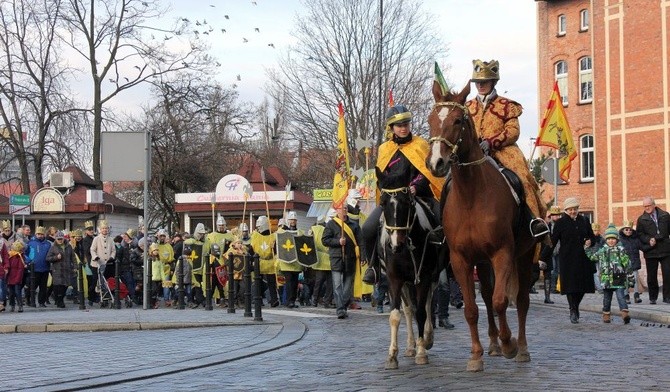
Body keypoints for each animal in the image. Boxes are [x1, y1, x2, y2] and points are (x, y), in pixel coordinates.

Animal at [428, 81, 540, 372]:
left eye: (458, 120)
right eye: (431, 120)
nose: (436, 163)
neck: (472, 196)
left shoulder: (503, 253)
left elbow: (502, 302)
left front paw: (509, 344)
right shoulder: (461, 259)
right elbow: (472, 308)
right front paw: (476, 355)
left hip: (524, 256)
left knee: (520, 301)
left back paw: (521, 348)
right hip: (482, 261)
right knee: (487, 297)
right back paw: (492, 344)